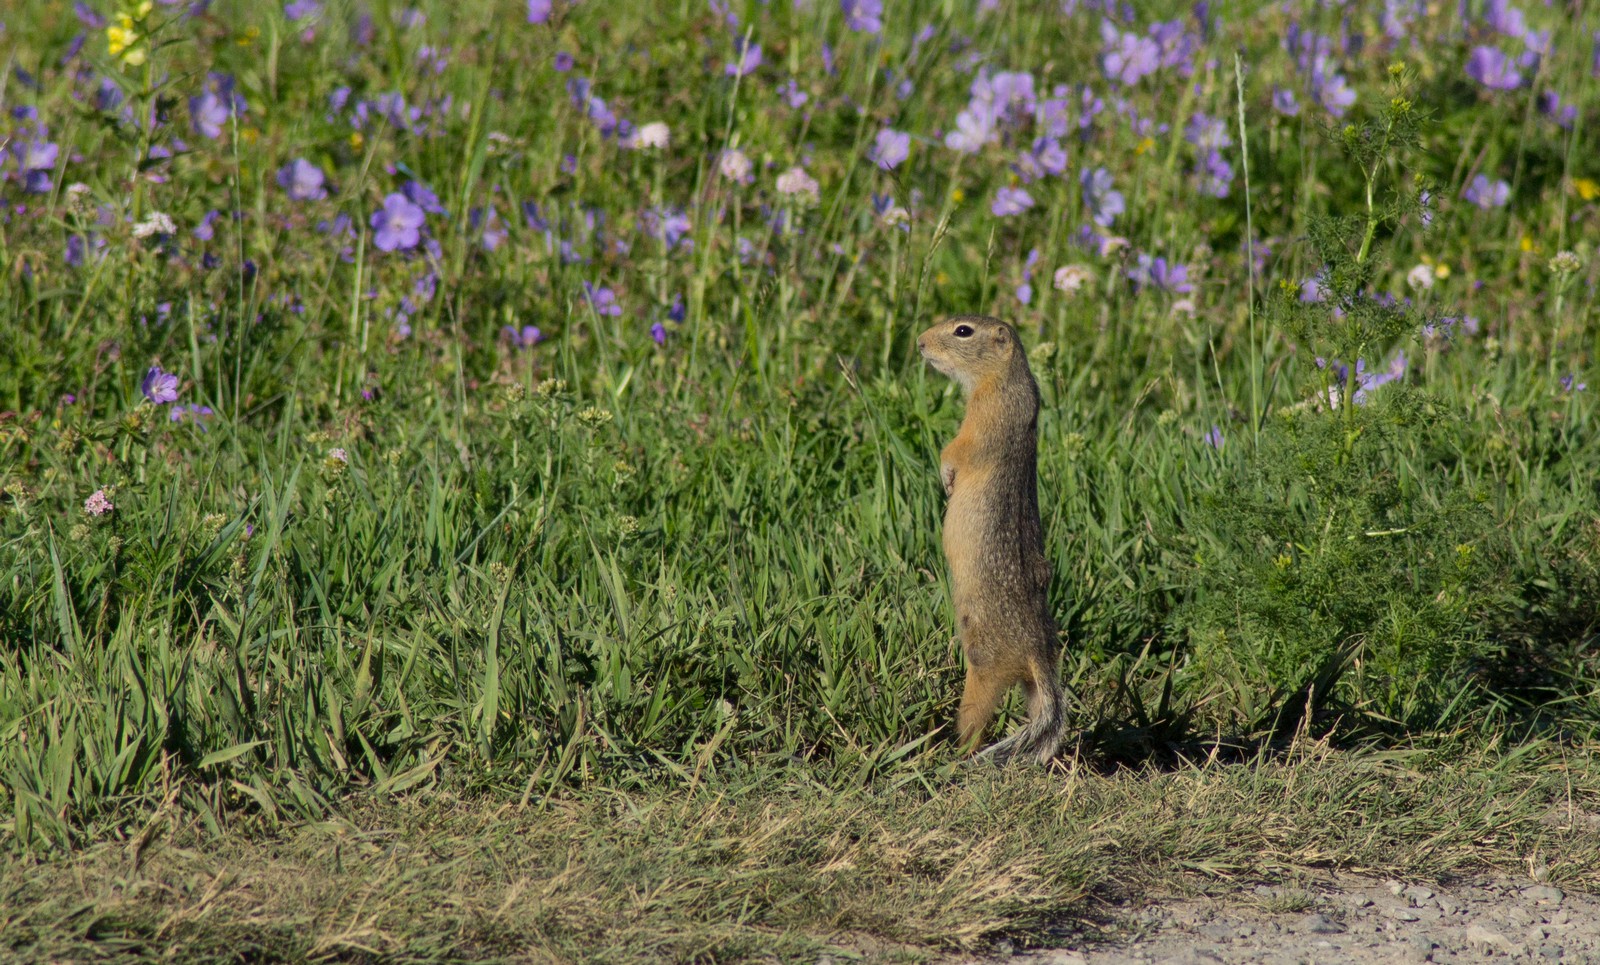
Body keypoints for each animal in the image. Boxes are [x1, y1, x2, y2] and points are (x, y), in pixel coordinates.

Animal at [921, 313, 1068, 764]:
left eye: (962, 331)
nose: (919, 343)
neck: (1005, 378)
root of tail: (1036, 651)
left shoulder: (982, 421)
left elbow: (956, 450)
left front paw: (946, 478)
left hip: (983, 666)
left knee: (975, 719)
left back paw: (952, 754)